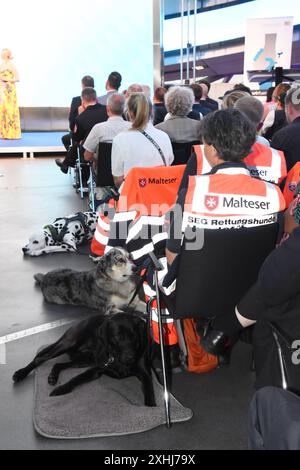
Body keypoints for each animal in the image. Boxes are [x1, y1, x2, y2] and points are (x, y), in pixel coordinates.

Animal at [12, 310, 156, 406]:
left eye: (134, 337)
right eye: (116, 336)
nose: (129, 358)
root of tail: (83, 320)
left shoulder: (145, 375)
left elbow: (149, 394)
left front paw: (150, 408)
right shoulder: (96, 368)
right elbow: (76, 379)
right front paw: (60, 389)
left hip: (86, 359)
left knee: (59, 364)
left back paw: (53, 376)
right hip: (68, 343)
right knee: (40, 358)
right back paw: (20, 374)